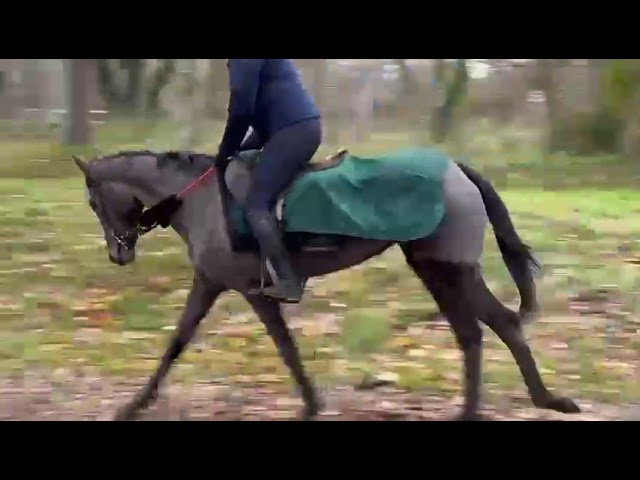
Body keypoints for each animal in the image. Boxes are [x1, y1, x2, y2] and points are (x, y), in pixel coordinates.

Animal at [71, 147, 581, 421]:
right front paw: (135, 405)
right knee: (475, 333)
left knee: (500, 325)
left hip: (452, 270)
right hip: (435, 271)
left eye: (94, 203)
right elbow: (179, 343)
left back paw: (539, 400)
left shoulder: (250, 291)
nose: (118, 254)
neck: (202, 203)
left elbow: (278, 347)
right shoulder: (212, 283)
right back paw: (492, 406)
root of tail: (456, 169)